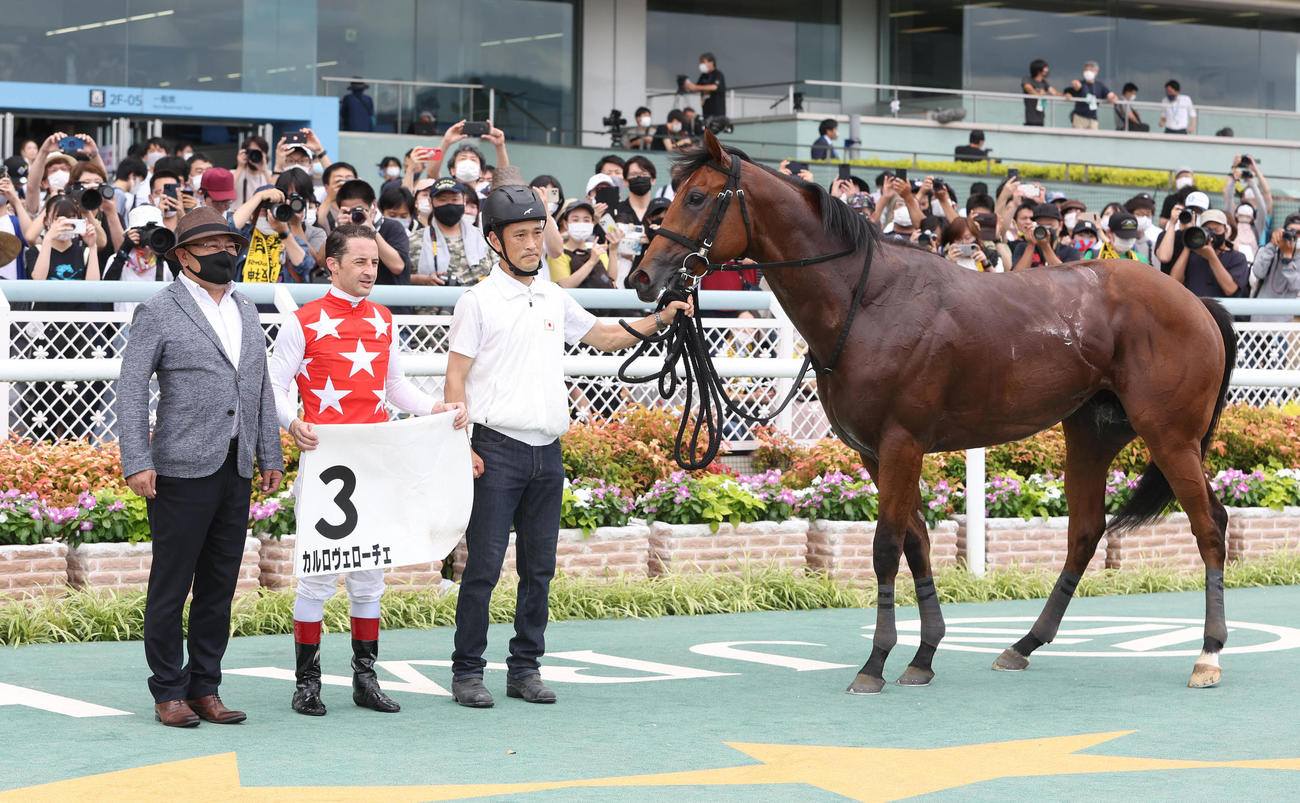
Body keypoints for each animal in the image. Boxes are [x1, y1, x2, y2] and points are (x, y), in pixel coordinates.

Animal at [630, 131, 1237, 694]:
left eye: (697, 196)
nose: (643, 277)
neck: (867, 301)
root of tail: (1194, 301)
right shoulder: (876, 453)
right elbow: (916, 542)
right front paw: (922, 656)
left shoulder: (902, 442)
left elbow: (886, 546)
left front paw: (875, 663)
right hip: (1091, 433)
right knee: (1086, 531)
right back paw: (1022, 644)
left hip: (1169, 434)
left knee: (1209, 523)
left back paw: (1207, 654)